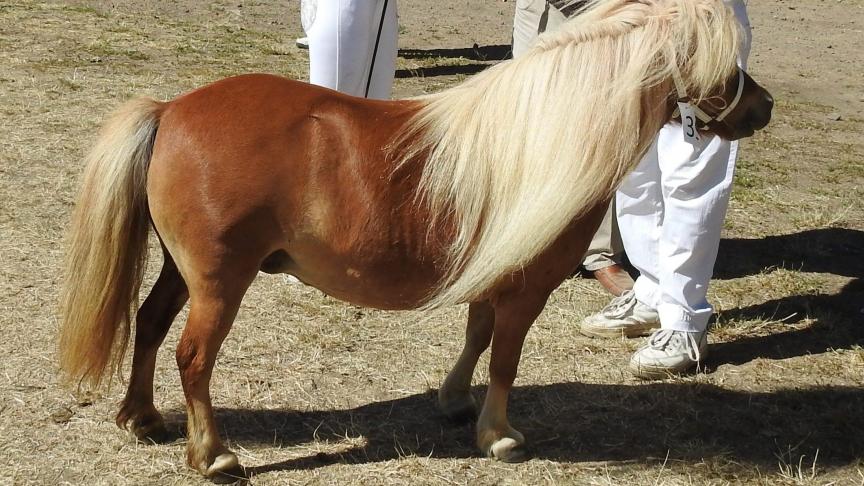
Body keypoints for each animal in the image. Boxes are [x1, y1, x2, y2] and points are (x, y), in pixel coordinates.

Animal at [62, 0, 776, 478]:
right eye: (724, 61)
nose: (762, 107)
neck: (538, 139)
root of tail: (171, 110)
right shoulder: (528, 288)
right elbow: (505, 356)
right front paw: (498, 435)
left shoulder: (491, 274)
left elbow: (478, 335)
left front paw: (455, 402)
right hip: (218, 281)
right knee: (193, 357)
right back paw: (212, 456)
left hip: (181, 271)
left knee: (150, 323)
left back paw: (143, 418)